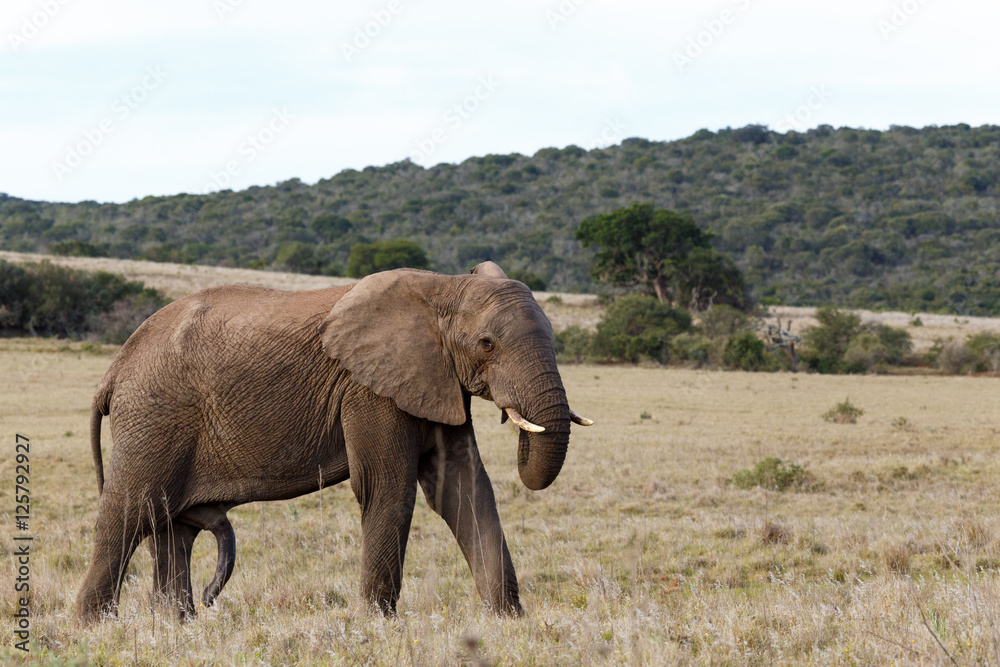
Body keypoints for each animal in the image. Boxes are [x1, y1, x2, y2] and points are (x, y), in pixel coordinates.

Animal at [78, 258, 592, 624]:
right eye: (487, 344)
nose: (514, 417)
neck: (443, 288)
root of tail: (114, 369)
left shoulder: (437, 380)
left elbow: (462, 489)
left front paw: (509, 621)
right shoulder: (368, 389)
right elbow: (387, 488)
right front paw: (378, 624)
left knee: (171, 529)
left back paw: (174, 624)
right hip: (155, 416)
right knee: (128, 511)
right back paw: (95, 627)